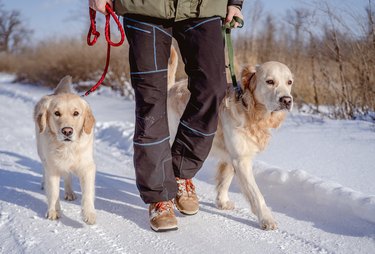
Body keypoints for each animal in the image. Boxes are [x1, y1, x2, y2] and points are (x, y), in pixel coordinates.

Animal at [33, 75, 97, 224]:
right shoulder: (52, 168)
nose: (67, 131)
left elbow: (88, 192)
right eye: (57, 113)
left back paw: (69, 193)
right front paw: (53, 211)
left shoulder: (87, 167)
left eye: (76, 113)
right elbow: (53, 192)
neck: (68, 148)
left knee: (67, 176)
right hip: (42, 154)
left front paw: (89, 214)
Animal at [167, 48, 294, 230]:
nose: (287, 100)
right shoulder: (242, 159)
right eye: (270, 81)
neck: (250, 111)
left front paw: (222, 201)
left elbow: (224, 180)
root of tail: (171, 88)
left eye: (289, 82)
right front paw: (266, 219)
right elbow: (256, 194)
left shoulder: (232, 156)